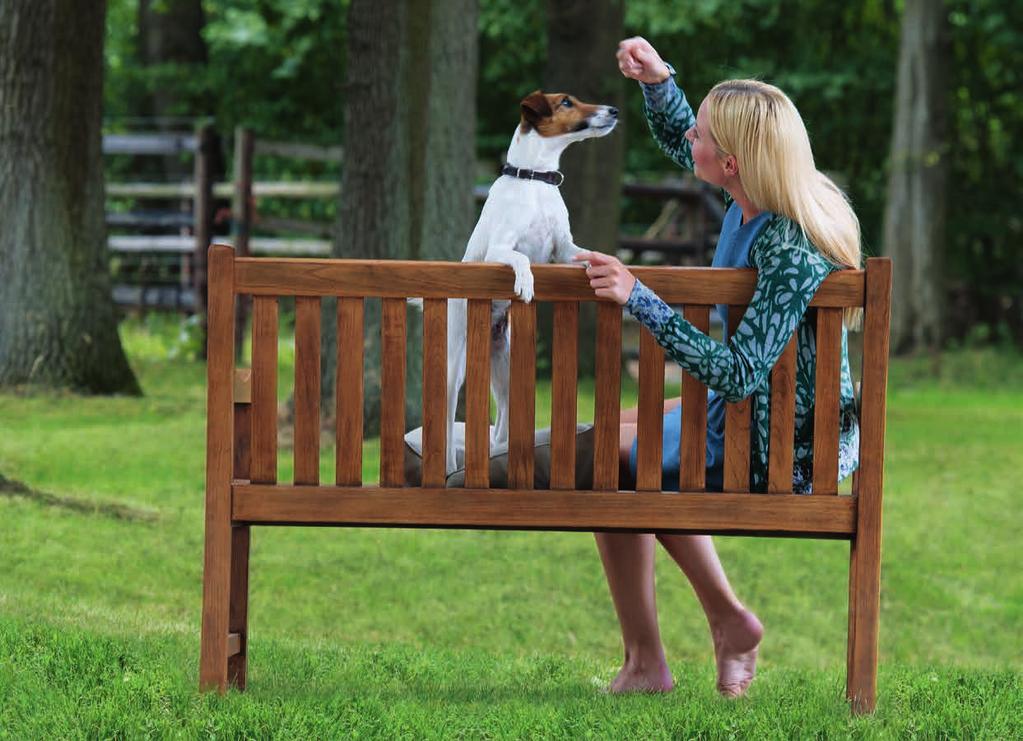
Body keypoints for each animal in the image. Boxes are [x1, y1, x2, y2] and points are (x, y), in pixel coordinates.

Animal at [439, 91, 613, 474]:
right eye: (566, 102)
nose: (614, 110)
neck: (535, 181)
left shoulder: (565, 249)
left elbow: (587, 254)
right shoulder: (500, 249)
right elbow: (520, 259)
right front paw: (527, 283)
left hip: (506, 372)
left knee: (502, 422)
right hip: (455, 368)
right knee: (445, 416)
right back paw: (448, 465)